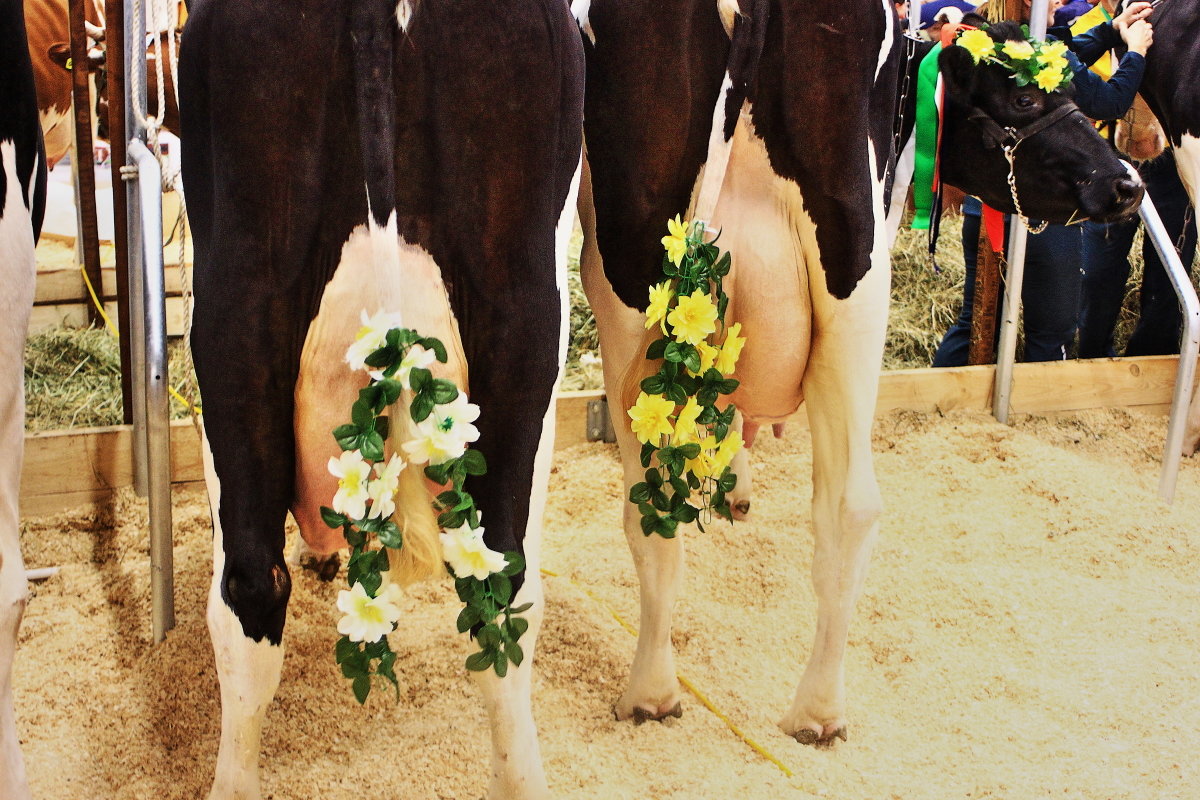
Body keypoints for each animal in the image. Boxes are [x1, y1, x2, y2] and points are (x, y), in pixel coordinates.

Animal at [580, 1, 1142, 743]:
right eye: (1025, 97)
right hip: (836, 287)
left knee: (677, 504)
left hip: (674, 290)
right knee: (834, 506)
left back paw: (681, 696)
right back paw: (792, 708)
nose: (1128, 182)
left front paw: (735, 482)